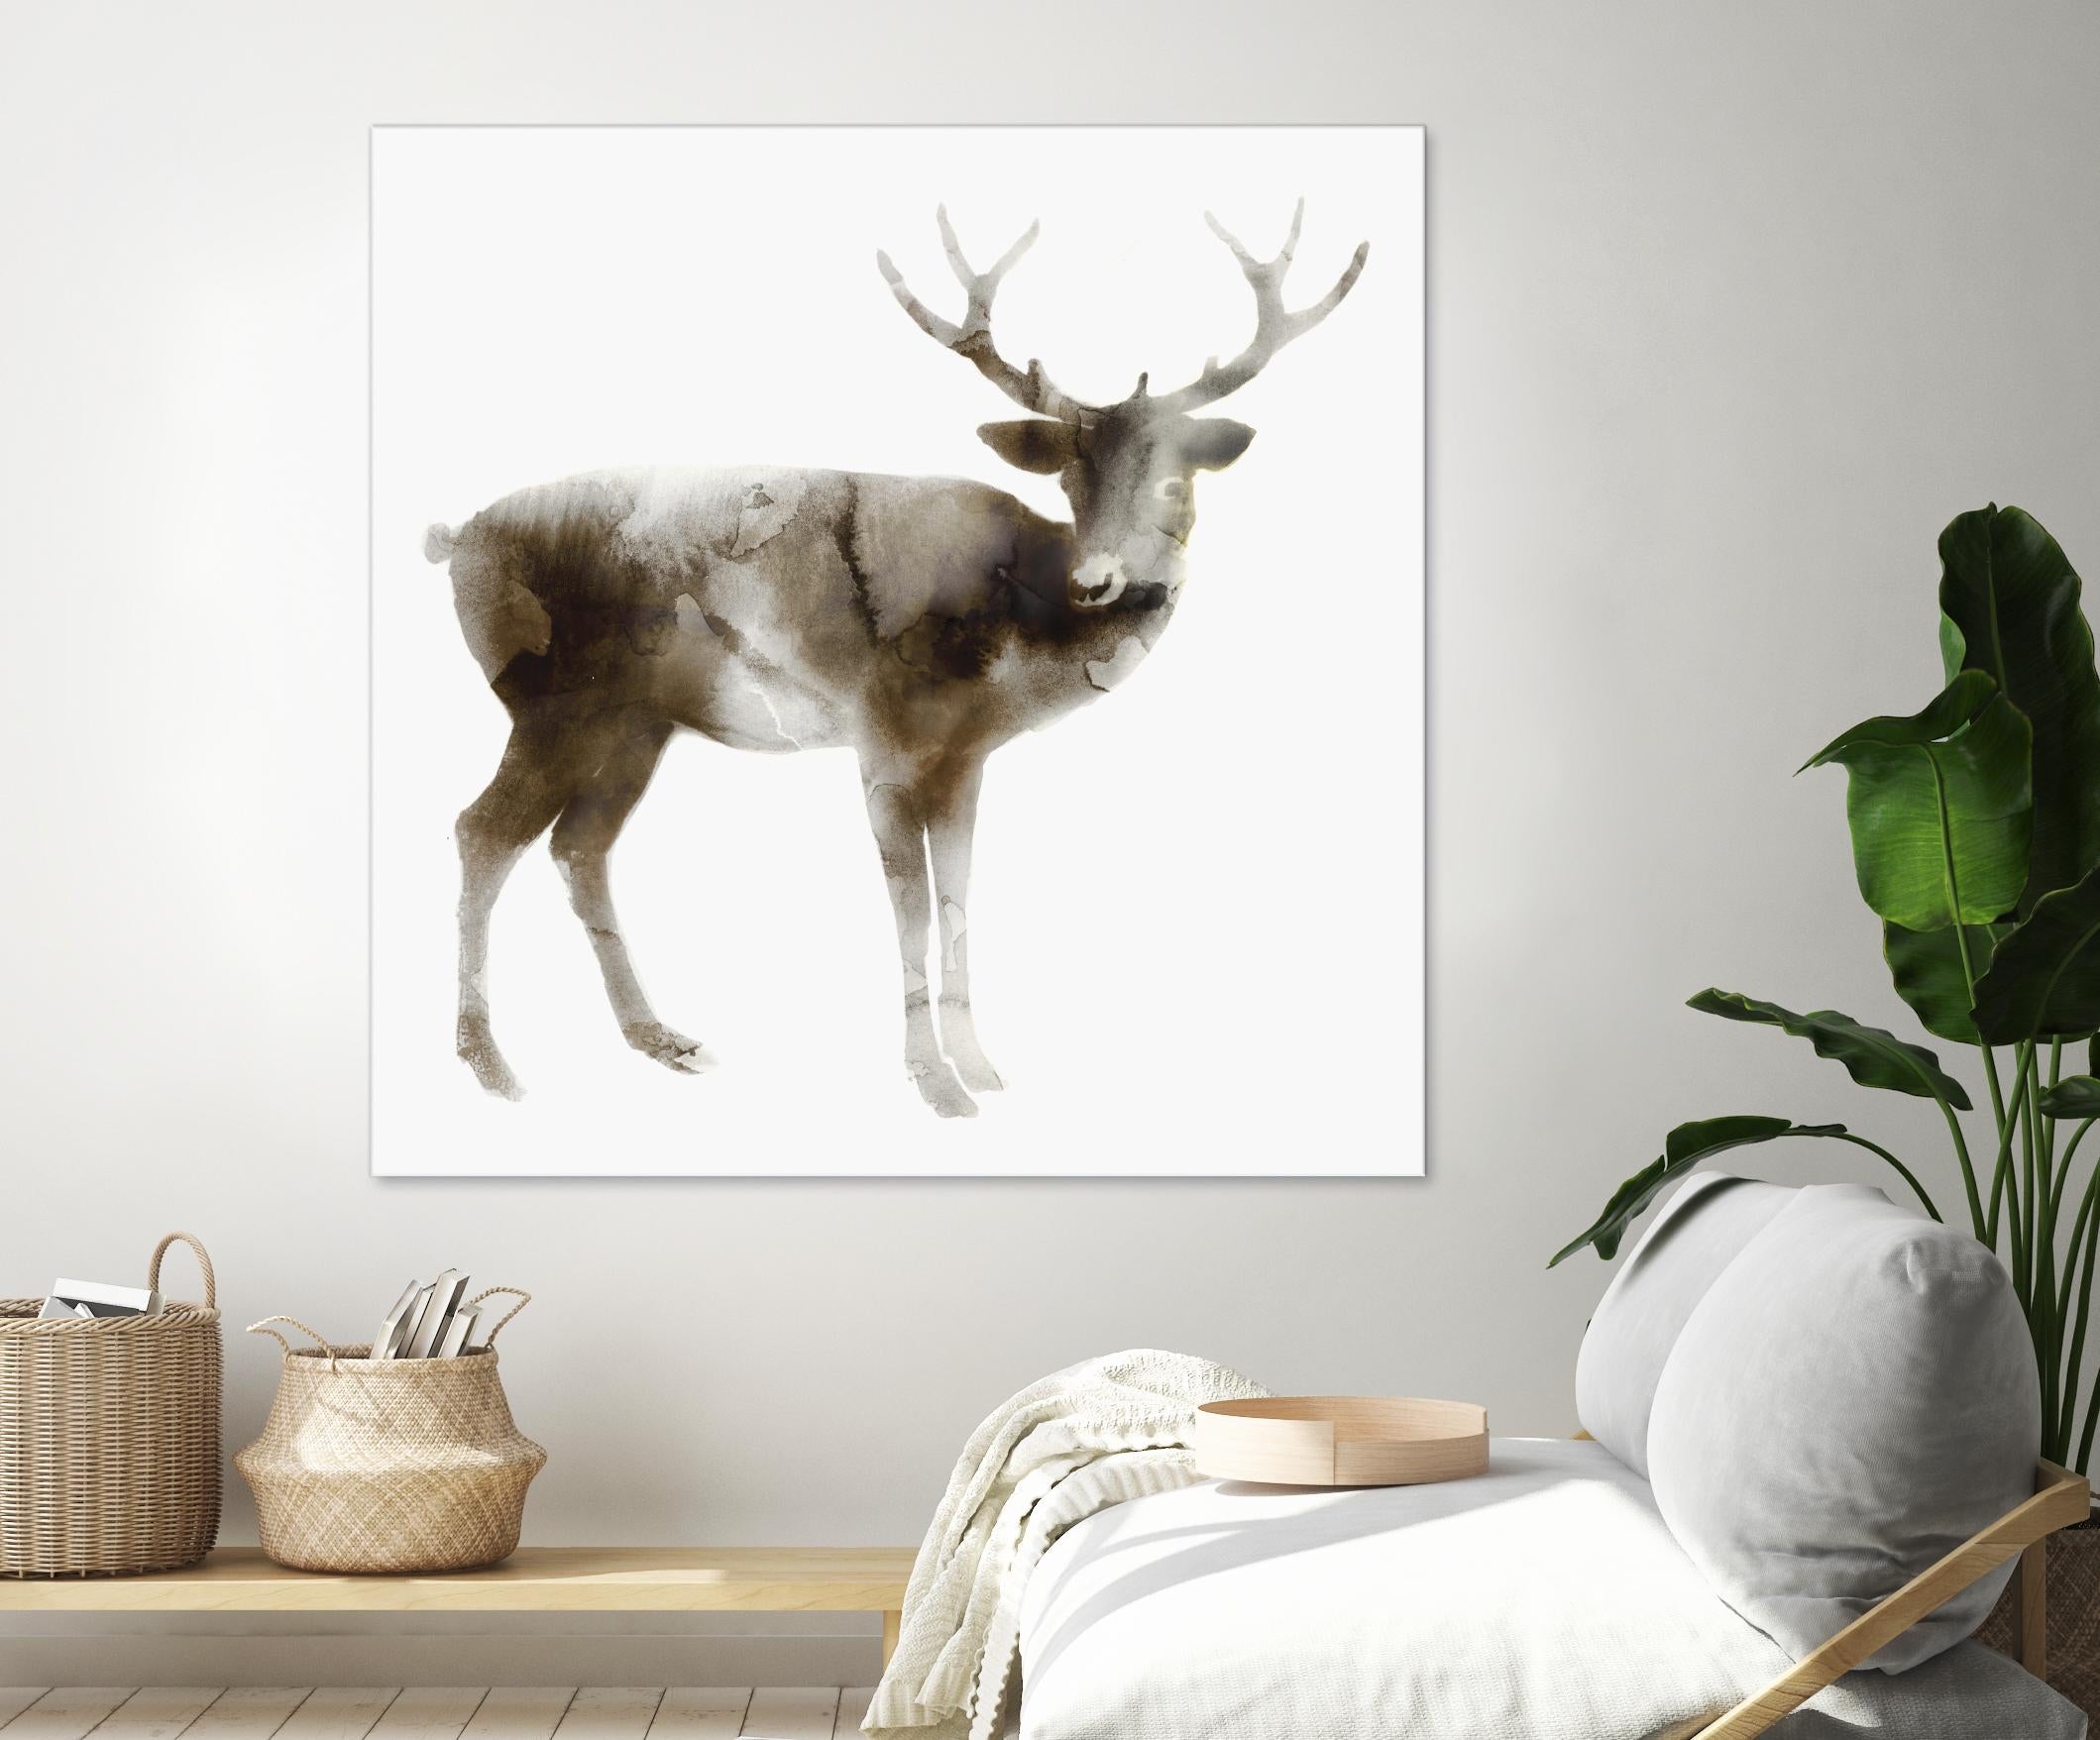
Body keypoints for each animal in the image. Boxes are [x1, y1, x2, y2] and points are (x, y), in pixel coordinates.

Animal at [422, 201, 1367, 1118]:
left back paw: (659, 1037)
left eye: (1177, 479)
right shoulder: (881, 739)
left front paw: (981, 1066)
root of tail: (455, 540)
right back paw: (491, 1065)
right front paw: (935, 1084)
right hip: (550, 703)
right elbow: (909, 906)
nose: (1098, 580)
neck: (1013, 643)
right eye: (1068, 478)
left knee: (579, 846)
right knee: (481, 831)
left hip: (634, 724)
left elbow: (956, 897)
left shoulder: (965, 760)